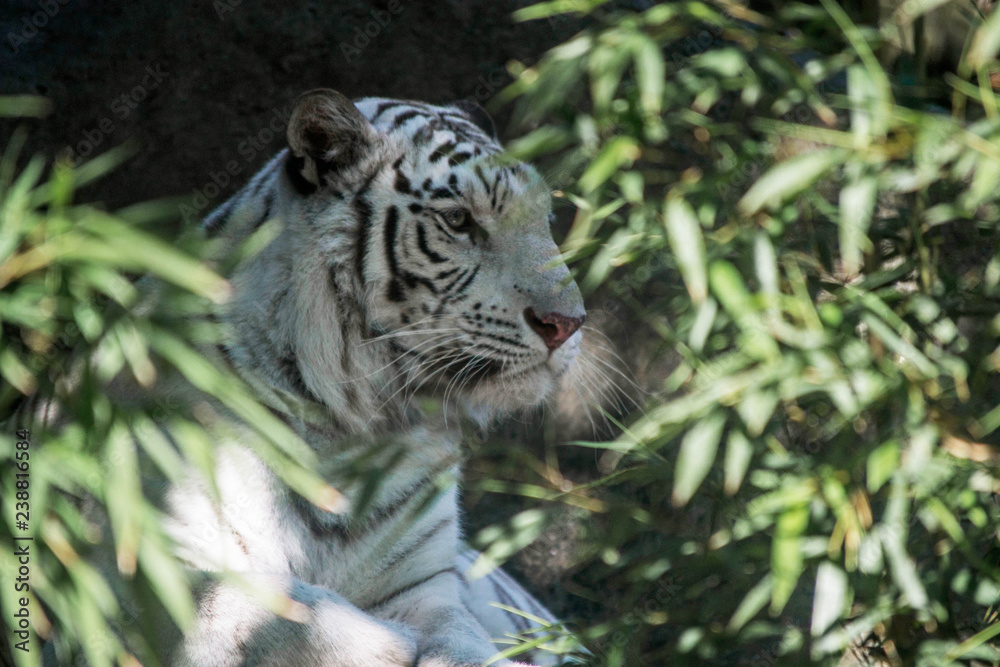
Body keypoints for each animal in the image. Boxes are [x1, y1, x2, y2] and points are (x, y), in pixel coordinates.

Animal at [163, 89, 587, 666]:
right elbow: (269, 612)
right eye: (459, 220)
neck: (343, 426)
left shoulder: (428, 585)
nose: (568, 323)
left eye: (545, 219)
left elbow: (463, 640)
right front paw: (390, 646)